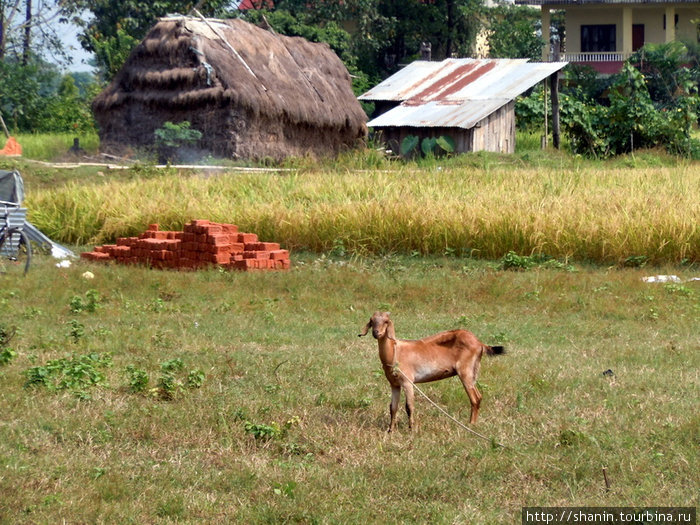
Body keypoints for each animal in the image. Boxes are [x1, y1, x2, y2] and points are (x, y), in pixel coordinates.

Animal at [360, 312, 504, 430]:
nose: (376, 333)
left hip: (466, 372)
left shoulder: (407, 382)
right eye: (372, 321)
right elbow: (393, 407)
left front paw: (411, 429)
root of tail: (479, 343)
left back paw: (471, 425)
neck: (395, 352)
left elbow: (409, 406)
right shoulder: (394, 384)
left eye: (386, 321)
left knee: (475, 398)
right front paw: (390, 430)